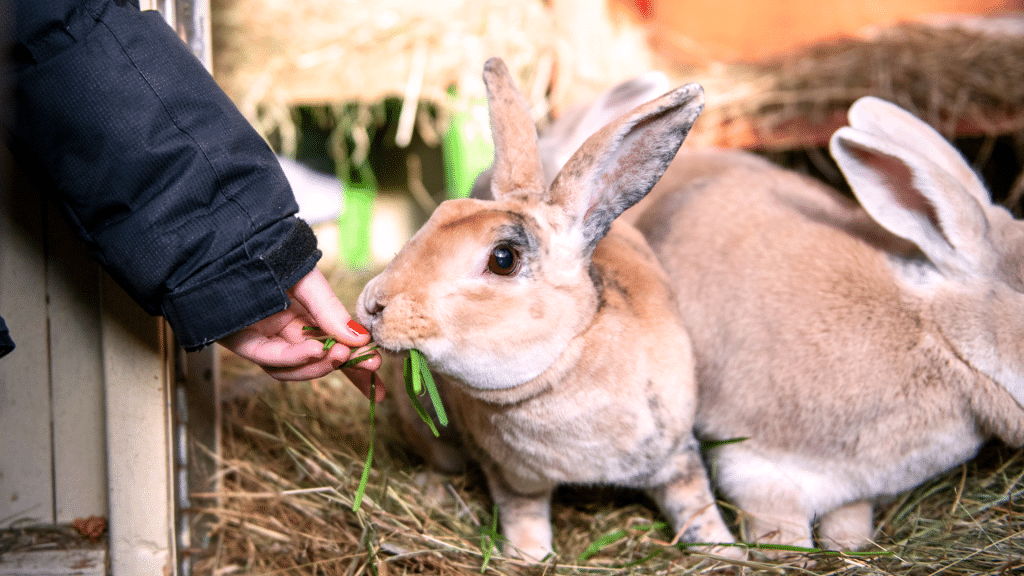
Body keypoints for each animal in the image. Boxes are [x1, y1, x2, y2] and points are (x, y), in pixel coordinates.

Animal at [355, 57, 738, 561]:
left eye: (503, 259)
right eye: (439, 214)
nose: (372, 304)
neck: (566, 364)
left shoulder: (676, 455)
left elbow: (696, 505)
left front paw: (728, 551)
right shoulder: (513, 478)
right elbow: (524, 518)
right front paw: (526, 557)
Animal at [622, 96, 1024, 553]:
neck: (935, 336)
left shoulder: (856, 490)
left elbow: (849, 527)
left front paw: (848, 548)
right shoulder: (756, 466)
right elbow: (784, 532)